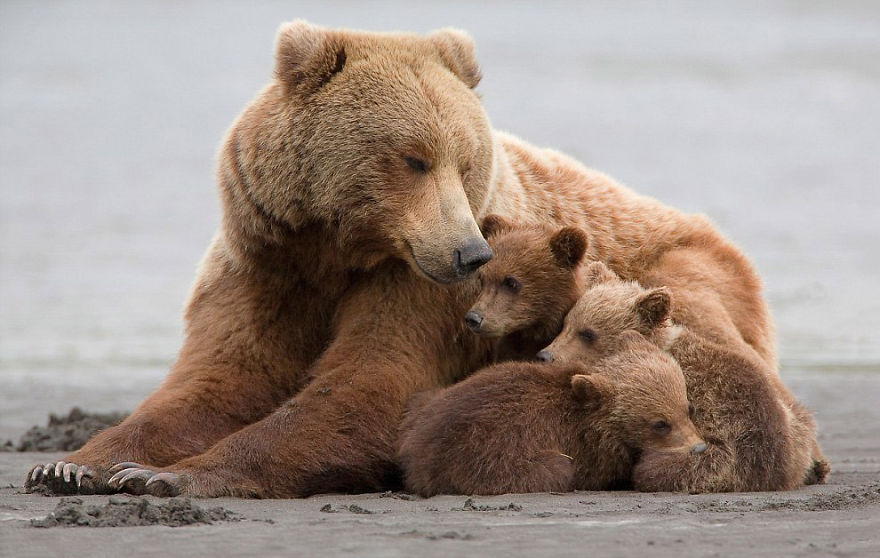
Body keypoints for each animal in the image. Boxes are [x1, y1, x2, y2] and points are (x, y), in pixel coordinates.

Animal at [397, 330, 705, 496]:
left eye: (688, 408)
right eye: (660, 423)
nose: (699, 447)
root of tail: (418, 459)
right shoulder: (586, 448)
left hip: (427, 402)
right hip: (487, 454)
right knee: (554, 468)